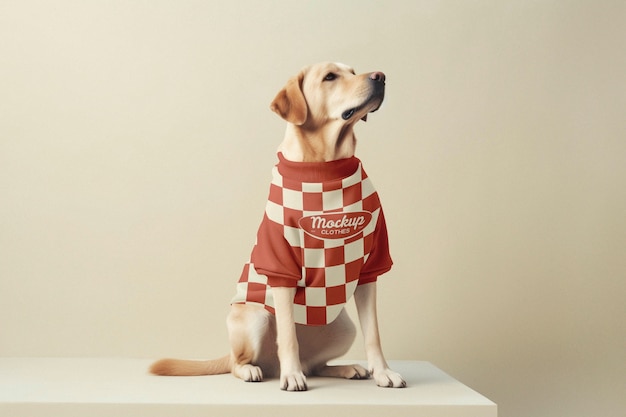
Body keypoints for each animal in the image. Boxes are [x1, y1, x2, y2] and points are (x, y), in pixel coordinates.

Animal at [151, 61, 404, 390]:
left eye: (353, 71)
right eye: (330, 77)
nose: (381, 77)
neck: (325, 168)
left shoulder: (369, 267)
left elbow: (373, 332)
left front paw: (382, 371)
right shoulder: (281, 267)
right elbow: (287, 335)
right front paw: (291, 375)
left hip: (343, 326)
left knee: (315, 364)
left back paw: (346, 368)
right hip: (254, 316)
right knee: (240, 362)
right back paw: (257, 370)